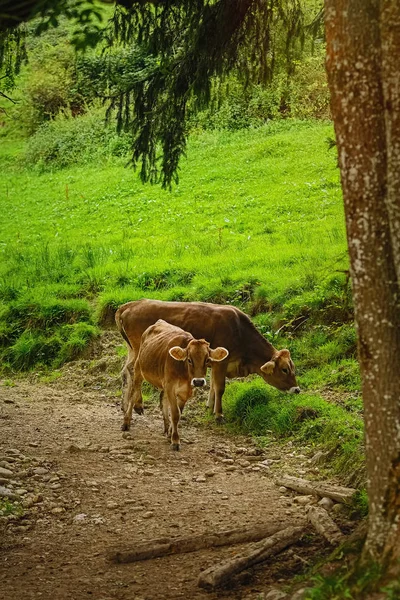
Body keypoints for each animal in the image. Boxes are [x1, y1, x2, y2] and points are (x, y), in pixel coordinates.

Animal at [115, 298, 300, 422]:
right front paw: (219, 414)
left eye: (293, 368)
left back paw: (125, 405)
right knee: (134, 371)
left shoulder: (214, 361)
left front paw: (210, 407)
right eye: (284, 369)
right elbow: (220, 387)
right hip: (139, 350)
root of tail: (129, 305)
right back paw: (137, 405)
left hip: (132, 350)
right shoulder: (221, 362)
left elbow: (212, 386)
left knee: (125, 371)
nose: (297, 390)